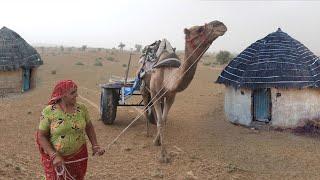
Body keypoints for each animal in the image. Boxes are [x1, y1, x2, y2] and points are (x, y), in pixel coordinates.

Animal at [141, 20, 228, 162]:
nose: (220, 24)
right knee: (145, 106)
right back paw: (148, 132)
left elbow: (164, 120)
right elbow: (160, 121)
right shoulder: (155, 93)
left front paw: (157, 142)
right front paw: (163, 156)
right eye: (199, 29)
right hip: (144, 88)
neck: (168, 75)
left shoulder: (171, 96)